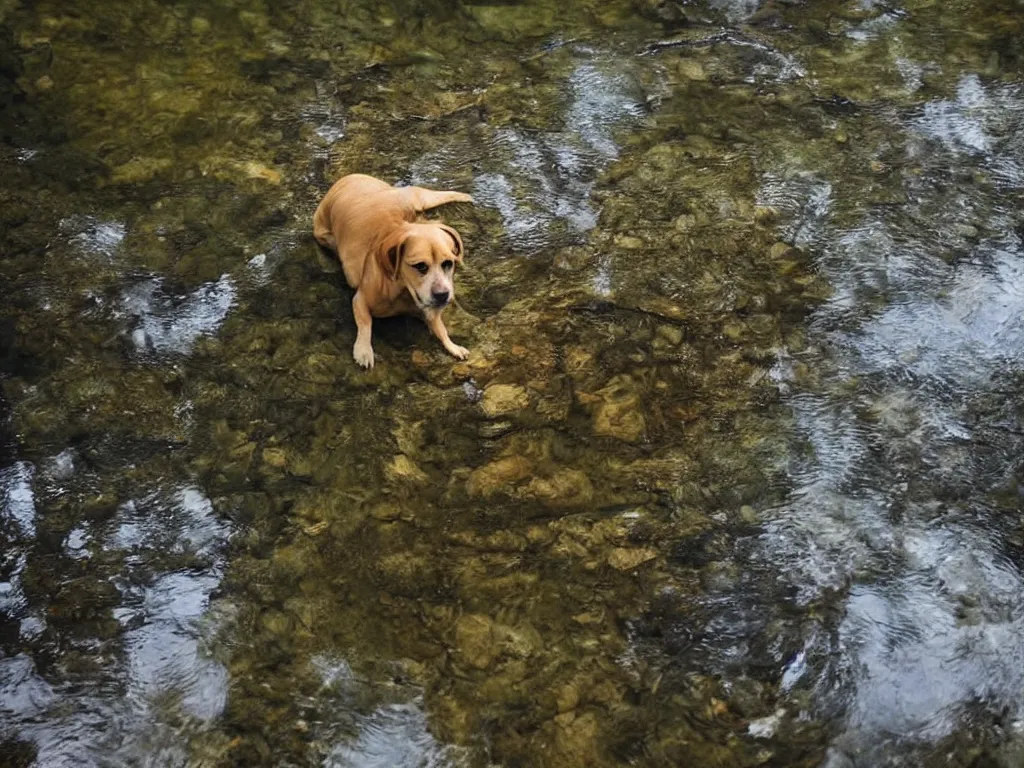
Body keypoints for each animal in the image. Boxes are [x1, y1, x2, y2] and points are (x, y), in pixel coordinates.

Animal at [309, 174, 473, 370]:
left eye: (448, 263)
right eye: (420, 266)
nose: (442, 295)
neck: (402, 291)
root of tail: (350, 177)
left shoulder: (429, 311)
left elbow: (440, 328)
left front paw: (452, 346)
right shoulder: (360, 300)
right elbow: (366, 323)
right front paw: (364, 350)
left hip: (415, 199)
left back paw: (463, 196)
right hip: (324, 234)